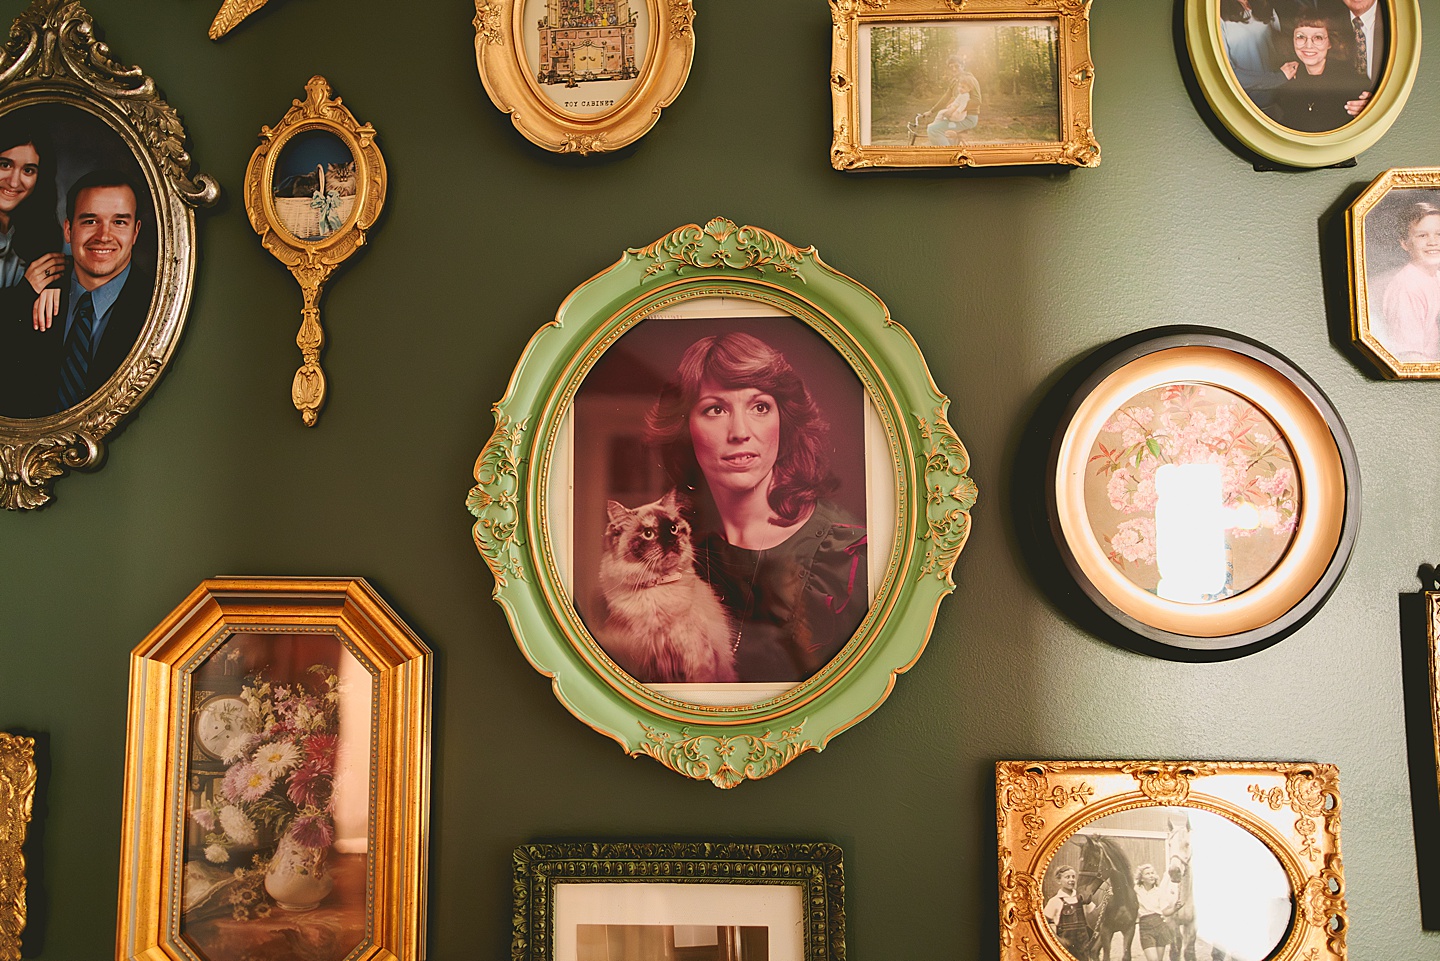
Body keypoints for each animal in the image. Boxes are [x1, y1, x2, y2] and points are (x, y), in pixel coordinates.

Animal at [593, 489, 737, 682]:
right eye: (648, 533)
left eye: (673, 529)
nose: (671, 541)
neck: (657, 587)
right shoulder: (644, 662)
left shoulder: (695, 658)